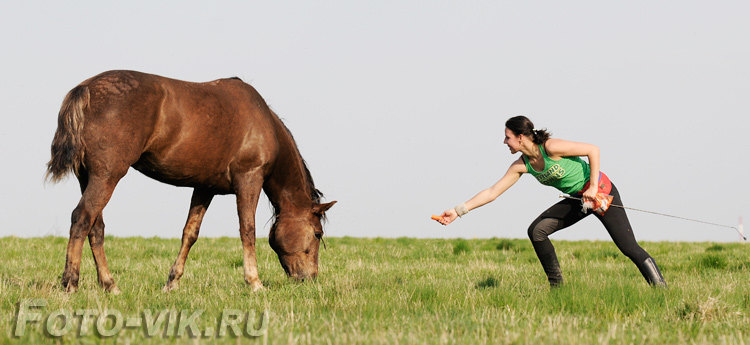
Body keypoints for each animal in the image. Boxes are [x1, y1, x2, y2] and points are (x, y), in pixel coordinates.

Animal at [47, 70, 338, 292]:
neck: (262, 121)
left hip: (88, 176)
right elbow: (248, 230)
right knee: (82, 218)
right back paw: (70, 283)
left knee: (95, 227)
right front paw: (254, 282)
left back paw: (110, 285)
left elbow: (190, 233)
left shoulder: (204, 188)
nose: (309, 278)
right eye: (317, 233)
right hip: (107, 176)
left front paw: (172, 282)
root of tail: (85, 89)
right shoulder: (249, 180)